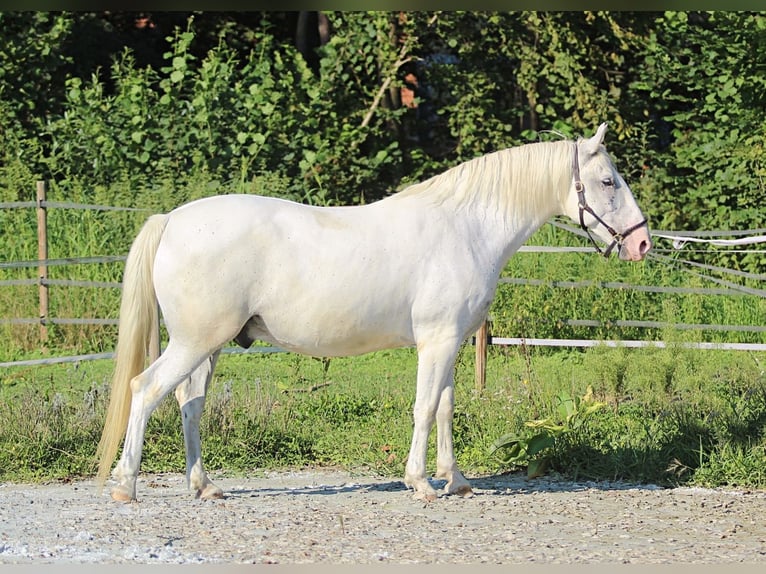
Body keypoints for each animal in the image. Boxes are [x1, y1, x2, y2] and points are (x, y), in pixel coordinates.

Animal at [94, 122, 648, 504]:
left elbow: (445, 408)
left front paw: (456, 481)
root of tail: (172, 219)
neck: (466, 227)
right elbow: (424, 407)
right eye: (607, 182)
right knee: (146, 389)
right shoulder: (436, 341)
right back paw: (126, 485)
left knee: (189, 403)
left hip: (208, 346)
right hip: (194, 342)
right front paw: (420, 483)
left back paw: (204, 485)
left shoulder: (449, 343)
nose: (641, 242)